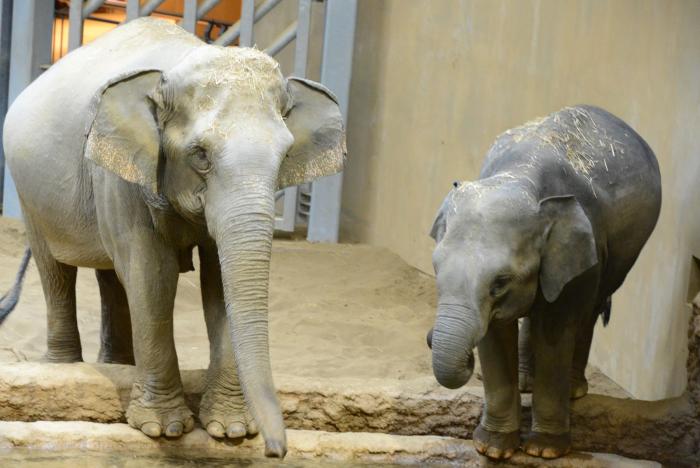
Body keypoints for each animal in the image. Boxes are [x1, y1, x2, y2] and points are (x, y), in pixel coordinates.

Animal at [2, 18, 348, 458]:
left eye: (285, 155)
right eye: (200, 155)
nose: (275, 450)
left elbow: (216, 284)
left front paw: (231, 431)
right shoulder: (120, 175)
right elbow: (153, 277)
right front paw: (162, 430)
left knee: (111, 275)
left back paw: (116, 366)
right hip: (28, 191)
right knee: (56, 271)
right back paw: (64, 368)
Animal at [426, 106, 660, 460]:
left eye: (500, 282)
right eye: (436, 268)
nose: (430, 338)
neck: (520, 178)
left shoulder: (576, 255)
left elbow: (556, 328)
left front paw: (544, 450)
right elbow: (495, 336)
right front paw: (493, 448)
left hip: (623, 254)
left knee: (590, 310)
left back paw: (574, 389)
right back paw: (526, 382)